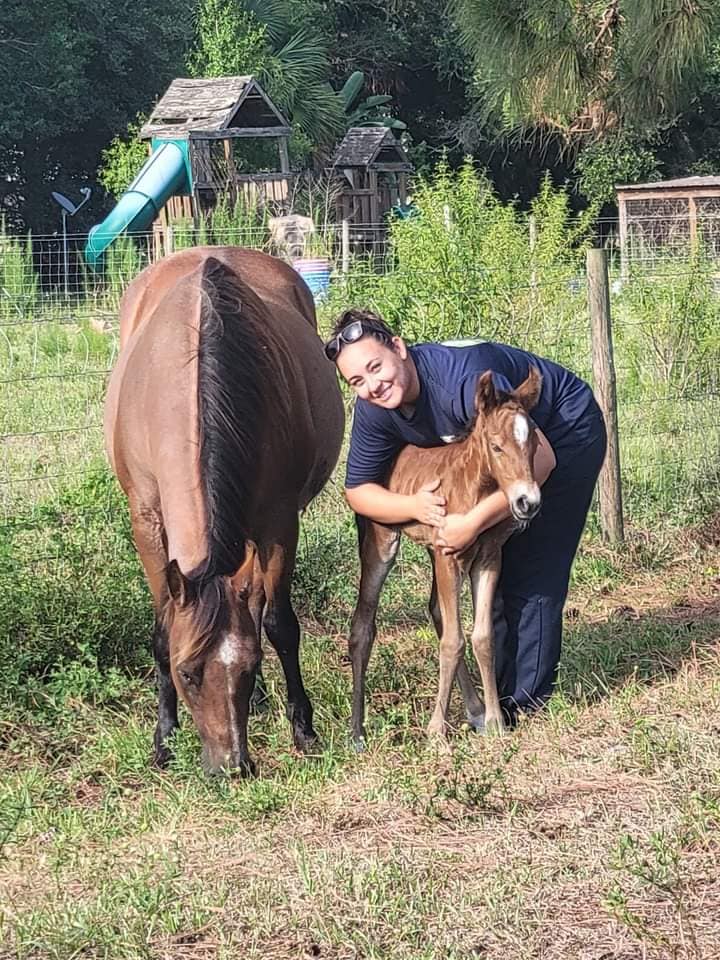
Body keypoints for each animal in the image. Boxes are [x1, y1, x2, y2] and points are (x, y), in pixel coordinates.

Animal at [104, 247, 344, 775]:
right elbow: (162, 629)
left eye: (248, 668)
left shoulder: (279, 523)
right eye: (188, 673)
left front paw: (304, 730)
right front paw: (164, 737)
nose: (233, 766)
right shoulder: (147, 522)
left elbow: (278, 624)